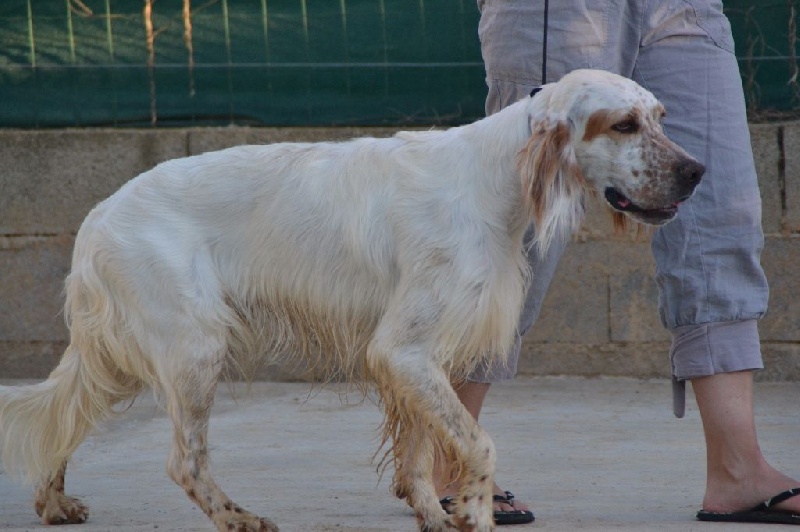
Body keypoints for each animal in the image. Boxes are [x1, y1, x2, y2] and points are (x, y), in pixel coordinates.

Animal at [0, 70, 700, 532]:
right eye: (625, 124)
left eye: (662, 116)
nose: (696, 172)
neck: (495, 177)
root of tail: (96, 219)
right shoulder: (403, 349)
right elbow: (478, 444)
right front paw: (475, 512)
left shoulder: (415, 359)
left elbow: (419, 457)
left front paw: (433, 516)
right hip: (194, 348)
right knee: (183, 461)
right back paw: (239, 517)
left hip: (119, 356)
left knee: (64, 415)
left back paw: (54, 504)